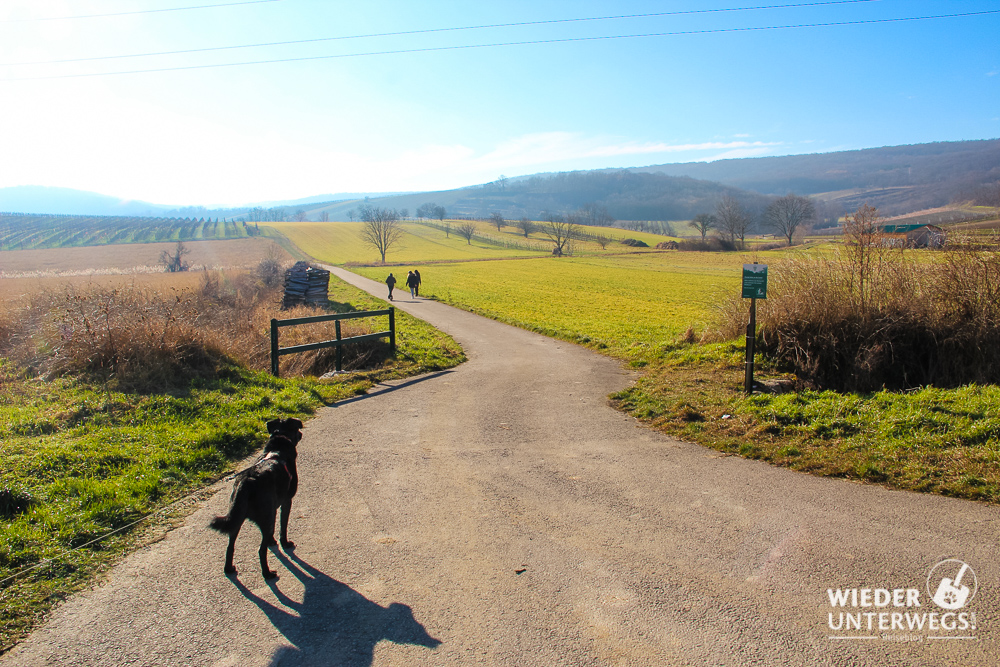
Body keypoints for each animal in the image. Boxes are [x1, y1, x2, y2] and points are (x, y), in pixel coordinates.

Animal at [209, 418, 302, 580]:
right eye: (297, 429)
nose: (301, 433)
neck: (278, 447)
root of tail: (245, 483)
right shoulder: (286, 502)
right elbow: (283, 526)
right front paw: (285, 543)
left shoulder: (273, 509)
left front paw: (273, 541)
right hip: (265, 516)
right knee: (261, 550)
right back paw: (267, 573)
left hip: (237, 517)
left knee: (230, 545)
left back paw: (229, 568)